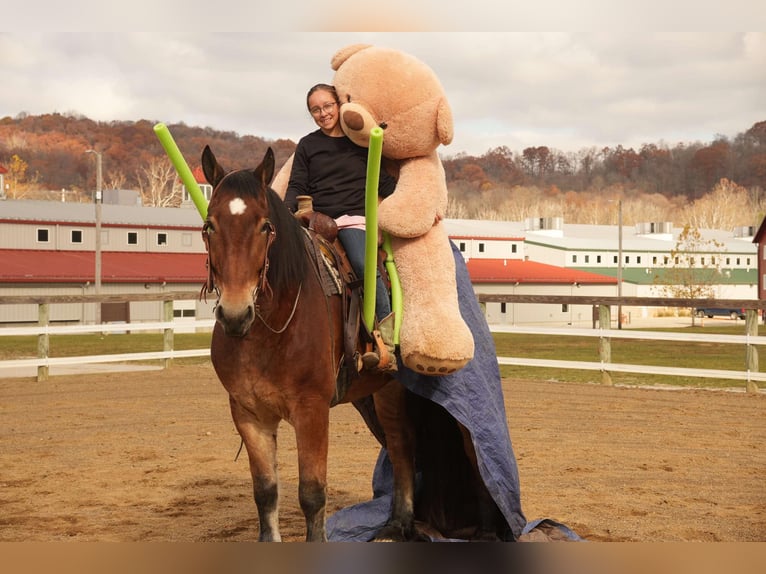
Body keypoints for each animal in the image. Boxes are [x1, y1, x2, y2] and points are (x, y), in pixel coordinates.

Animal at [198, 146, 416, 544]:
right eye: (210, 226)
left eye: (264, 226)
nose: (235, 313)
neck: (269, 333)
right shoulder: (248, 414)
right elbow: (265, 491)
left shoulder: (311, 410)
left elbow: (312, 494)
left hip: (393, 388)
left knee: (402, 445)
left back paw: (400, 524)